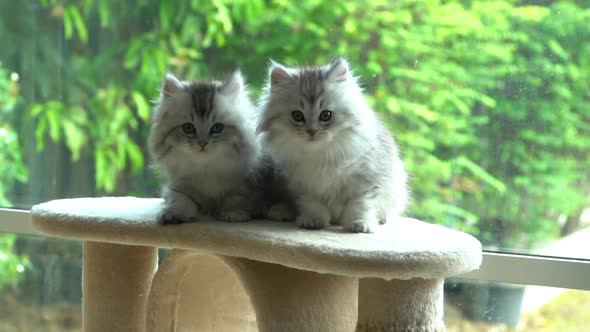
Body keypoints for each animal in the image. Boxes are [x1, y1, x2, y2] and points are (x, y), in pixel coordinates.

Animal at [150, 71, 290, 224]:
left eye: (217, 128)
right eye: (188, 128)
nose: (202, 143)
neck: (206, 169)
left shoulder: (247, 184)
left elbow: (236, 198)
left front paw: (233, 213)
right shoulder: (176, 187)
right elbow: (180, 200)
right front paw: (172, 214)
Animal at [256, 57, 410, 233]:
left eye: (325, 115)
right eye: (297, 116)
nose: (312, 131)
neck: (319, 154)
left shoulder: (365, 180)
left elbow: (359, 205)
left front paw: (359, 224)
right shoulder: (304, 186)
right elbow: (312, 205)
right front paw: (313, 221)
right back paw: (281, 211)